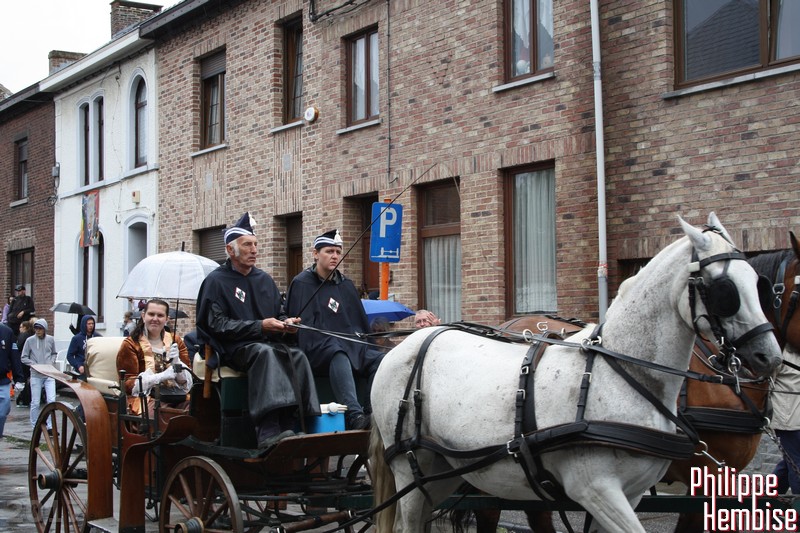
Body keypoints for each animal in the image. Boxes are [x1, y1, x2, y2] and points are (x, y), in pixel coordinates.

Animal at [369, 213, 782, 533]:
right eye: (725, 290)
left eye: (758, 284)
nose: (769, 356)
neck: (623, 373)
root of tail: (406, 344)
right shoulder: (596, 489)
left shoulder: (631, 493)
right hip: (411, 470)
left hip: (448, 469)